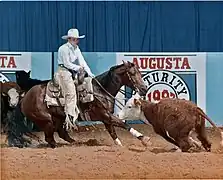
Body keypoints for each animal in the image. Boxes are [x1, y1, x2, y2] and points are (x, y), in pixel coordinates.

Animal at [17, 61, 150, 148]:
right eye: (132, 73)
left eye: (140, 73)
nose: (144, 89)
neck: (100, 90)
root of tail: (25, 96)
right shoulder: (105, 115)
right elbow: (123, 124)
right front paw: (144, 139)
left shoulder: (106, 118)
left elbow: (113, 132)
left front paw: (120, 145)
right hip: (46, 120)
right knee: (49, 138)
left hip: (59, 118)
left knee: (62, 133)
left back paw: (77, 143)